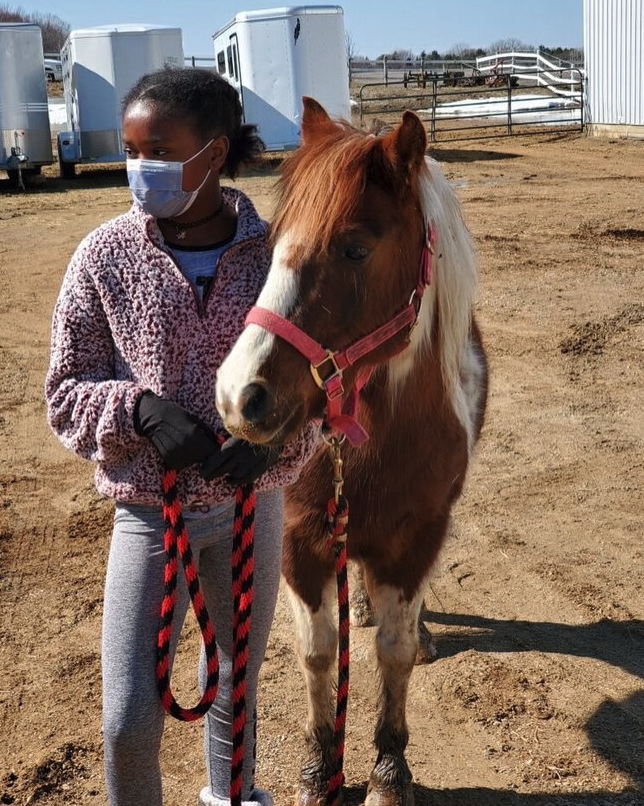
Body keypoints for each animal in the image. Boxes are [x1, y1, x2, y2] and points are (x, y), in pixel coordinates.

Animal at [216, 97, 488, 806]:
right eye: (274, 242)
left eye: (355, 248)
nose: (238, 394)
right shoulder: (301, 538)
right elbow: (318, 652)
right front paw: (320, 768)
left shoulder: (417, 535)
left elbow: (394, 653)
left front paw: (390, 768)